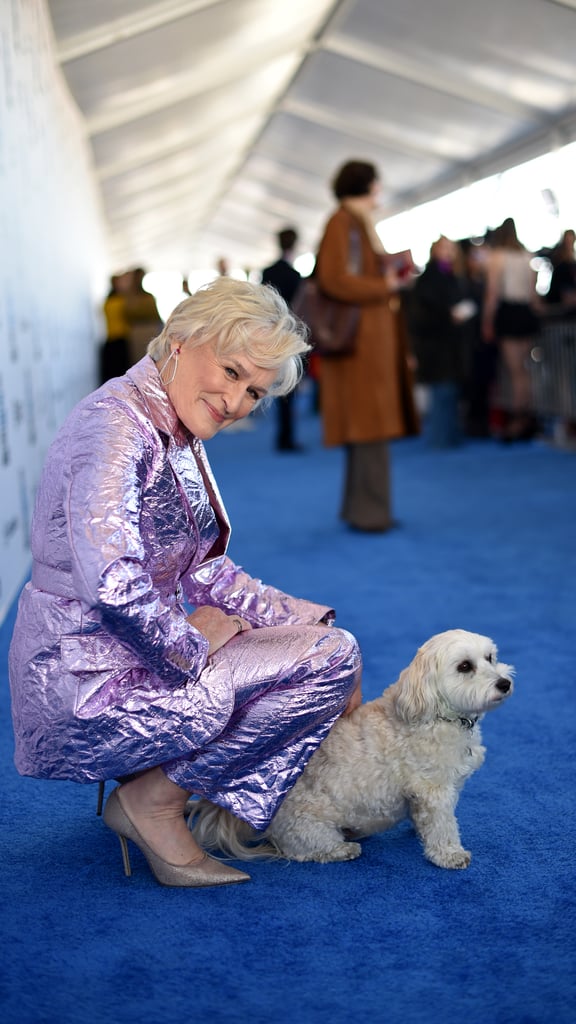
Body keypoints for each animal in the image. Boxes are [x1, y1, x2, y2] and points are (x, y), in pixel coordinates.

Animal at [190, 626, 512, 868]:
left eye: (490, 657)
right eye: (465, 666)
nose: (505, 683)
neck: (435, 713)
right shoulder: (433, 789)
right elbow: (443, 825)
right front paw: (450, 854)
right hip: (307, 826)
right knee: (305, 850)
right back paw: (343, 850)